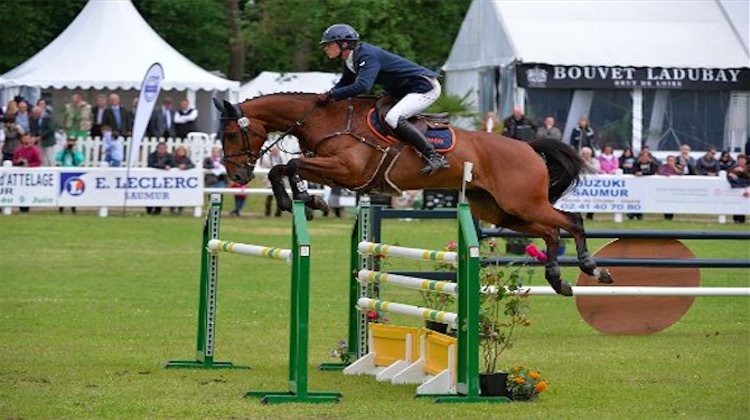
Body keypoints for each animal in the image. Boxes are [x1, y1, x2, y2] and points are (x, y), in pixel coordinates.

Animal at [214, 94, 612, 296]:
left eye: (231, 134)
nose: (237, 175)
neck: (324, 118)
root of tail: (528, 147)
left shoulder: (346, 170)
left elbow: (291, 165)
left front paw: (305, 200)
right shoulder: (330, 168)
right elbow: (285, 169)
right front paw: (305, 201)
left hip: (523, 202)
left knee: (570, 221)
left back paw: (592, 267)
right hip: (502, 211)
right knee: (550, 232)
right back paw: (558, 280)